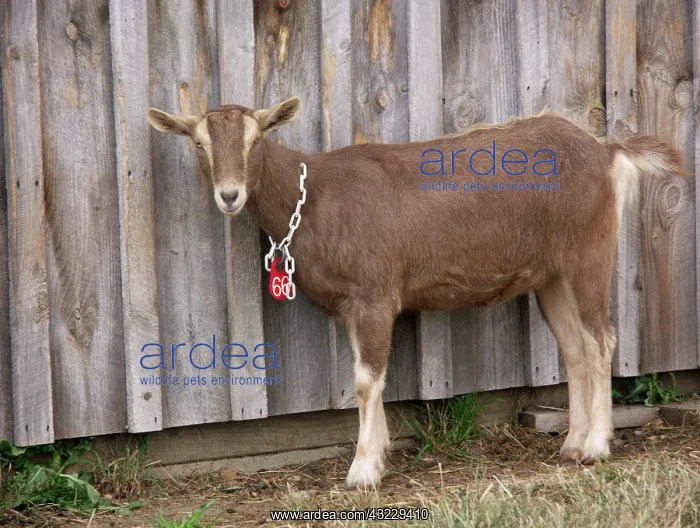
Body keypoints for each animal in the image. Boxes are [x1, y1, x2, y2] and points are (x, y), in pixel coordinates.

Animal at [147, 98, 688, 488]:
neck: (315, 198)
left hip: (588, 251)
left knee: (602, 341)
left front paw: (363, 471)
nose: (230, 195)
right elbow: (369, 377)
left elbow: (366, 382)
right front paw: (381, 453)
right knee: (576, 350)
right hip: (552, 275)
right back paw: (571, 444)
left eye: (257, 138)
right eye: (198, 143)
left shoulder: (374, 295)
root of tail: (609, 152)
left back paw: (596, 446)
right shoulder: (353, 304)